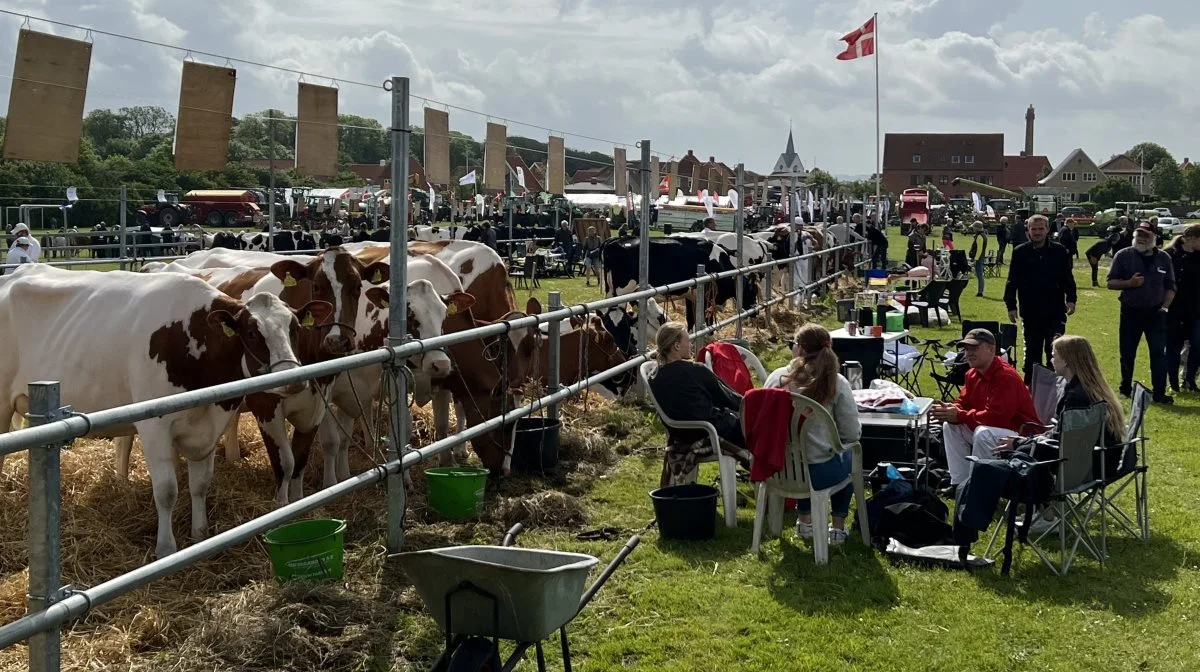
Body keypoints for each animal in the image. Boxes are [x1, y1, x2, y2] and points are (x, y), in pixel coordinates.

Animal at [0, 262, 328, 556]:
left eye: (295, 328)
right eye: (251, 332)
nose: (293, 377)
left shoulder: (210, 423)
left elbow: (200, 484)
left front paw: (200, 534)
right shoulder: (155, 426)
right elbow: (167, 491)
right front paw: (166, 548)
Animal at [600, 236, 758, 331]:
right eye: (753, 292)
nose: (756, 312)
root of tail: (614, 241)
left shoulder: (691, 296)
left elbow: (691, 319)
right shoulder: (706, 297)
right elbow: (705, 319)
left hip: (610, 292)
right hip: (622, 292)